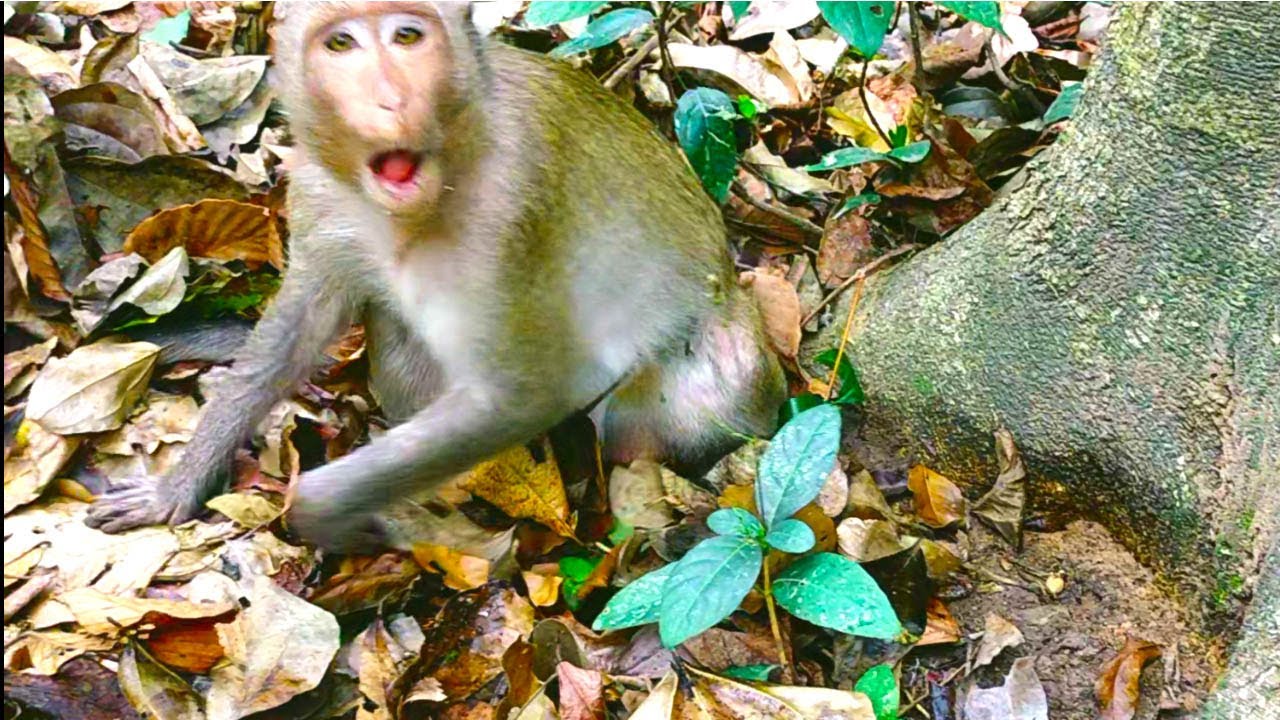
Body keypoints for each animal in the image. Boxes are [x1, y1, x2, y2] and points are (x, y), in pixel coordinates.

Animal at [86, 1, 786, 552]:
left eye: (407, 35)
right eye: (341, 44)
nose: (390, 99)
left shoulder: (507, 211)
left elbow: (522, 395)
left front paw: (323, 513)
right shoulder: (317, 193)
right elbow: (299, 329)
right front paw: (180, 484)